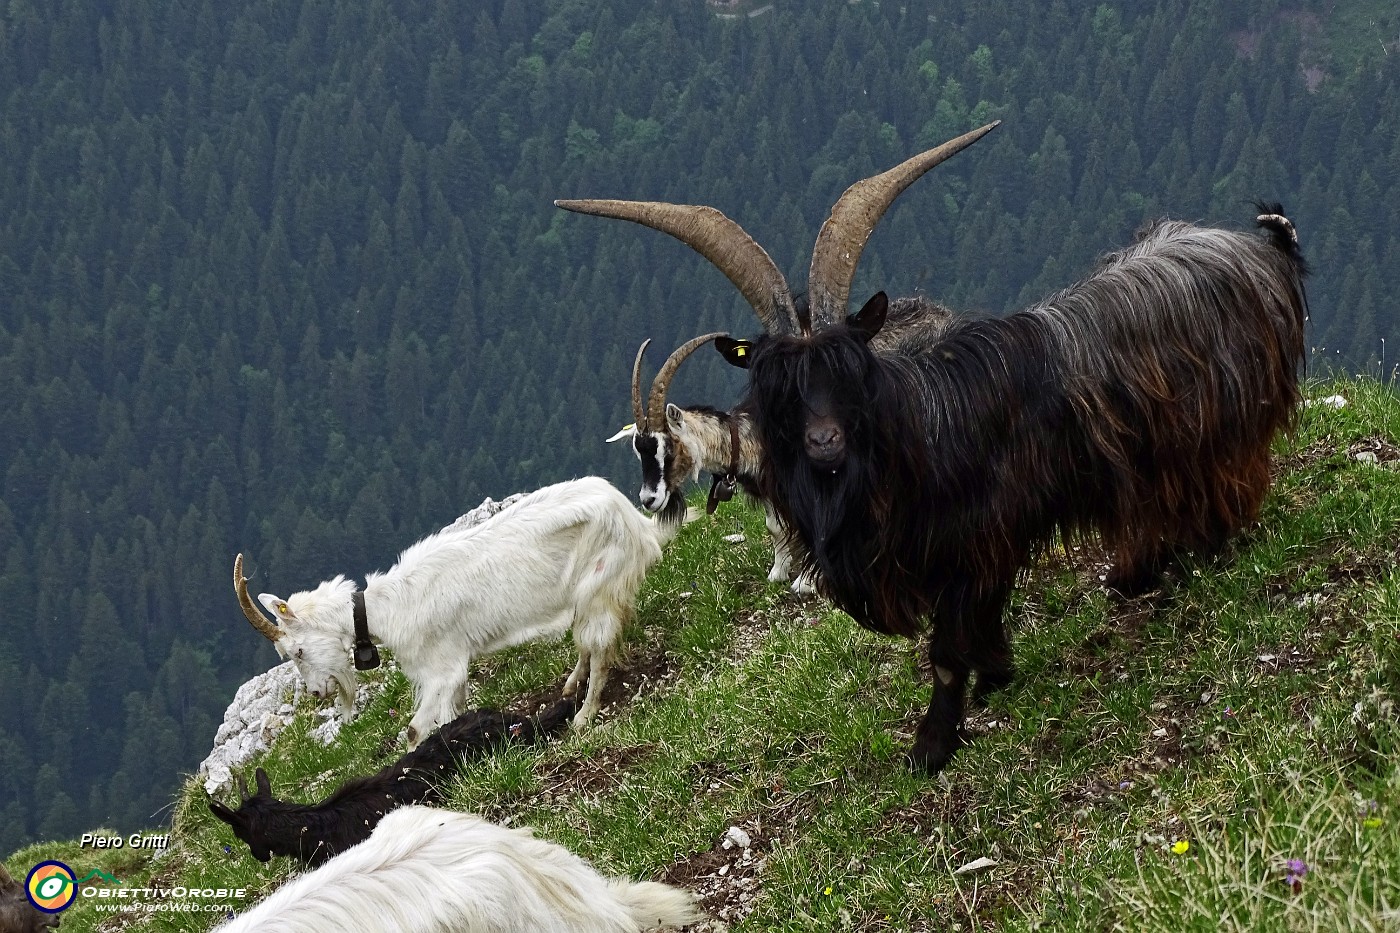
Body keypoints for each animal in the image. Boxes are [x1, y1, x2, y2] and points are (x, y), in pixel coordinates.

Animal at [236, 476, 683, 745]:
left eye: (296, 651)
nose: (317, 692)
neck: (388, 607)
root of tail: (636, 522)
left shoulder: (441, 666)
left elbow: (416, 729)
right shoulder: (455, 667)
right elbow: (453, 715)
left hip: (600, 586)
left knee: (601, 647)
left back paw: (584, 715)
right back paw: (571, 686)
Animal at [557, 125, 1310, 778]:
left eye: (849, 368)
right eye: (779, 384)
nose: (825, 443)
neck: (912, 436)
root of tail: (1252, 246)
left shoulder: (973, 540)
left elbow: (948, 648)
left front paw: (933, 746)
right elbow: (983, 622)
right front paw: (999, 673)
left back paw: (1206, 547)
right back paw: (1142, 568)